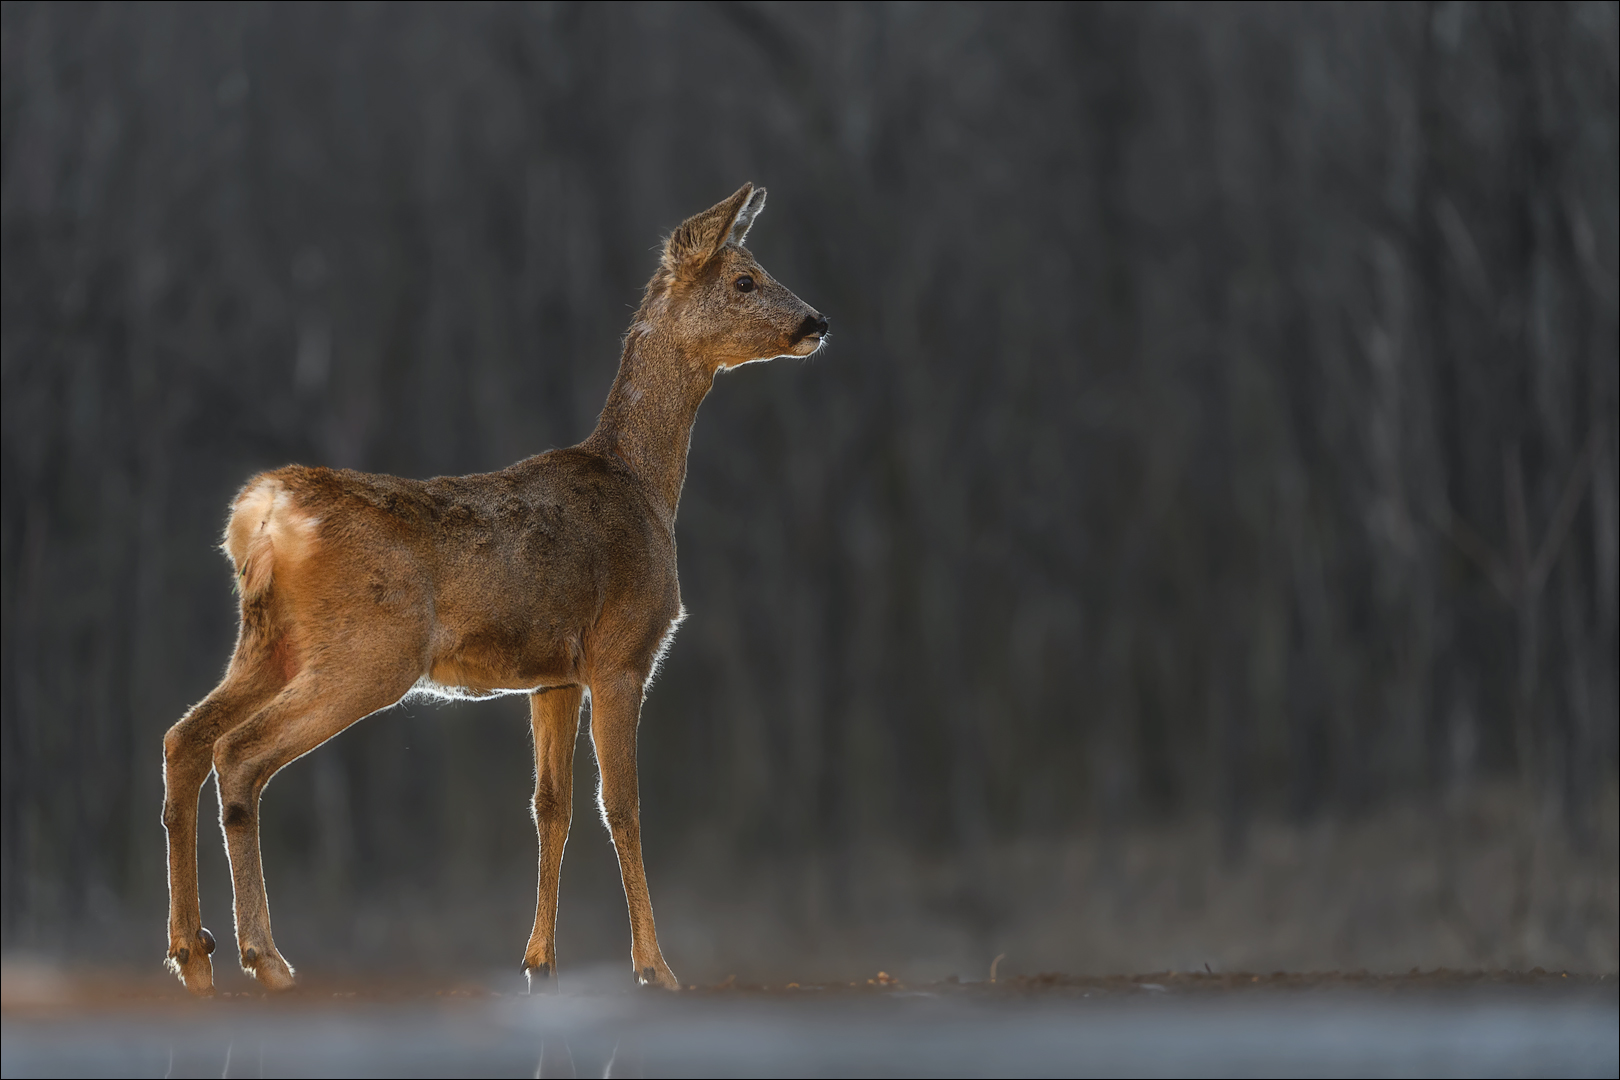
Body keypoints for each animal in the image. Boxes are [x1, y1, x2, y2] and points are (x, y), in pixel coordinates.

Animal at [161, 183, 822, 997]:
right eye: (745, 280)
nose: (816, 322)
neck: (645, 487)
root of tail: (261, 515)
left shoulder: (553, 675)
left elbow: (551, 807)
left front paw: (539, 961)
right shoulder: (622, 652)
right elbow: (623, 805)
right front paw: (656, 967)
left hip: (268, 642)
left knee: (185, 738)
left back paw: (193, 954)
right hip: (369, 651)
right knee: (239, 752)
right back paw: (265, 956)